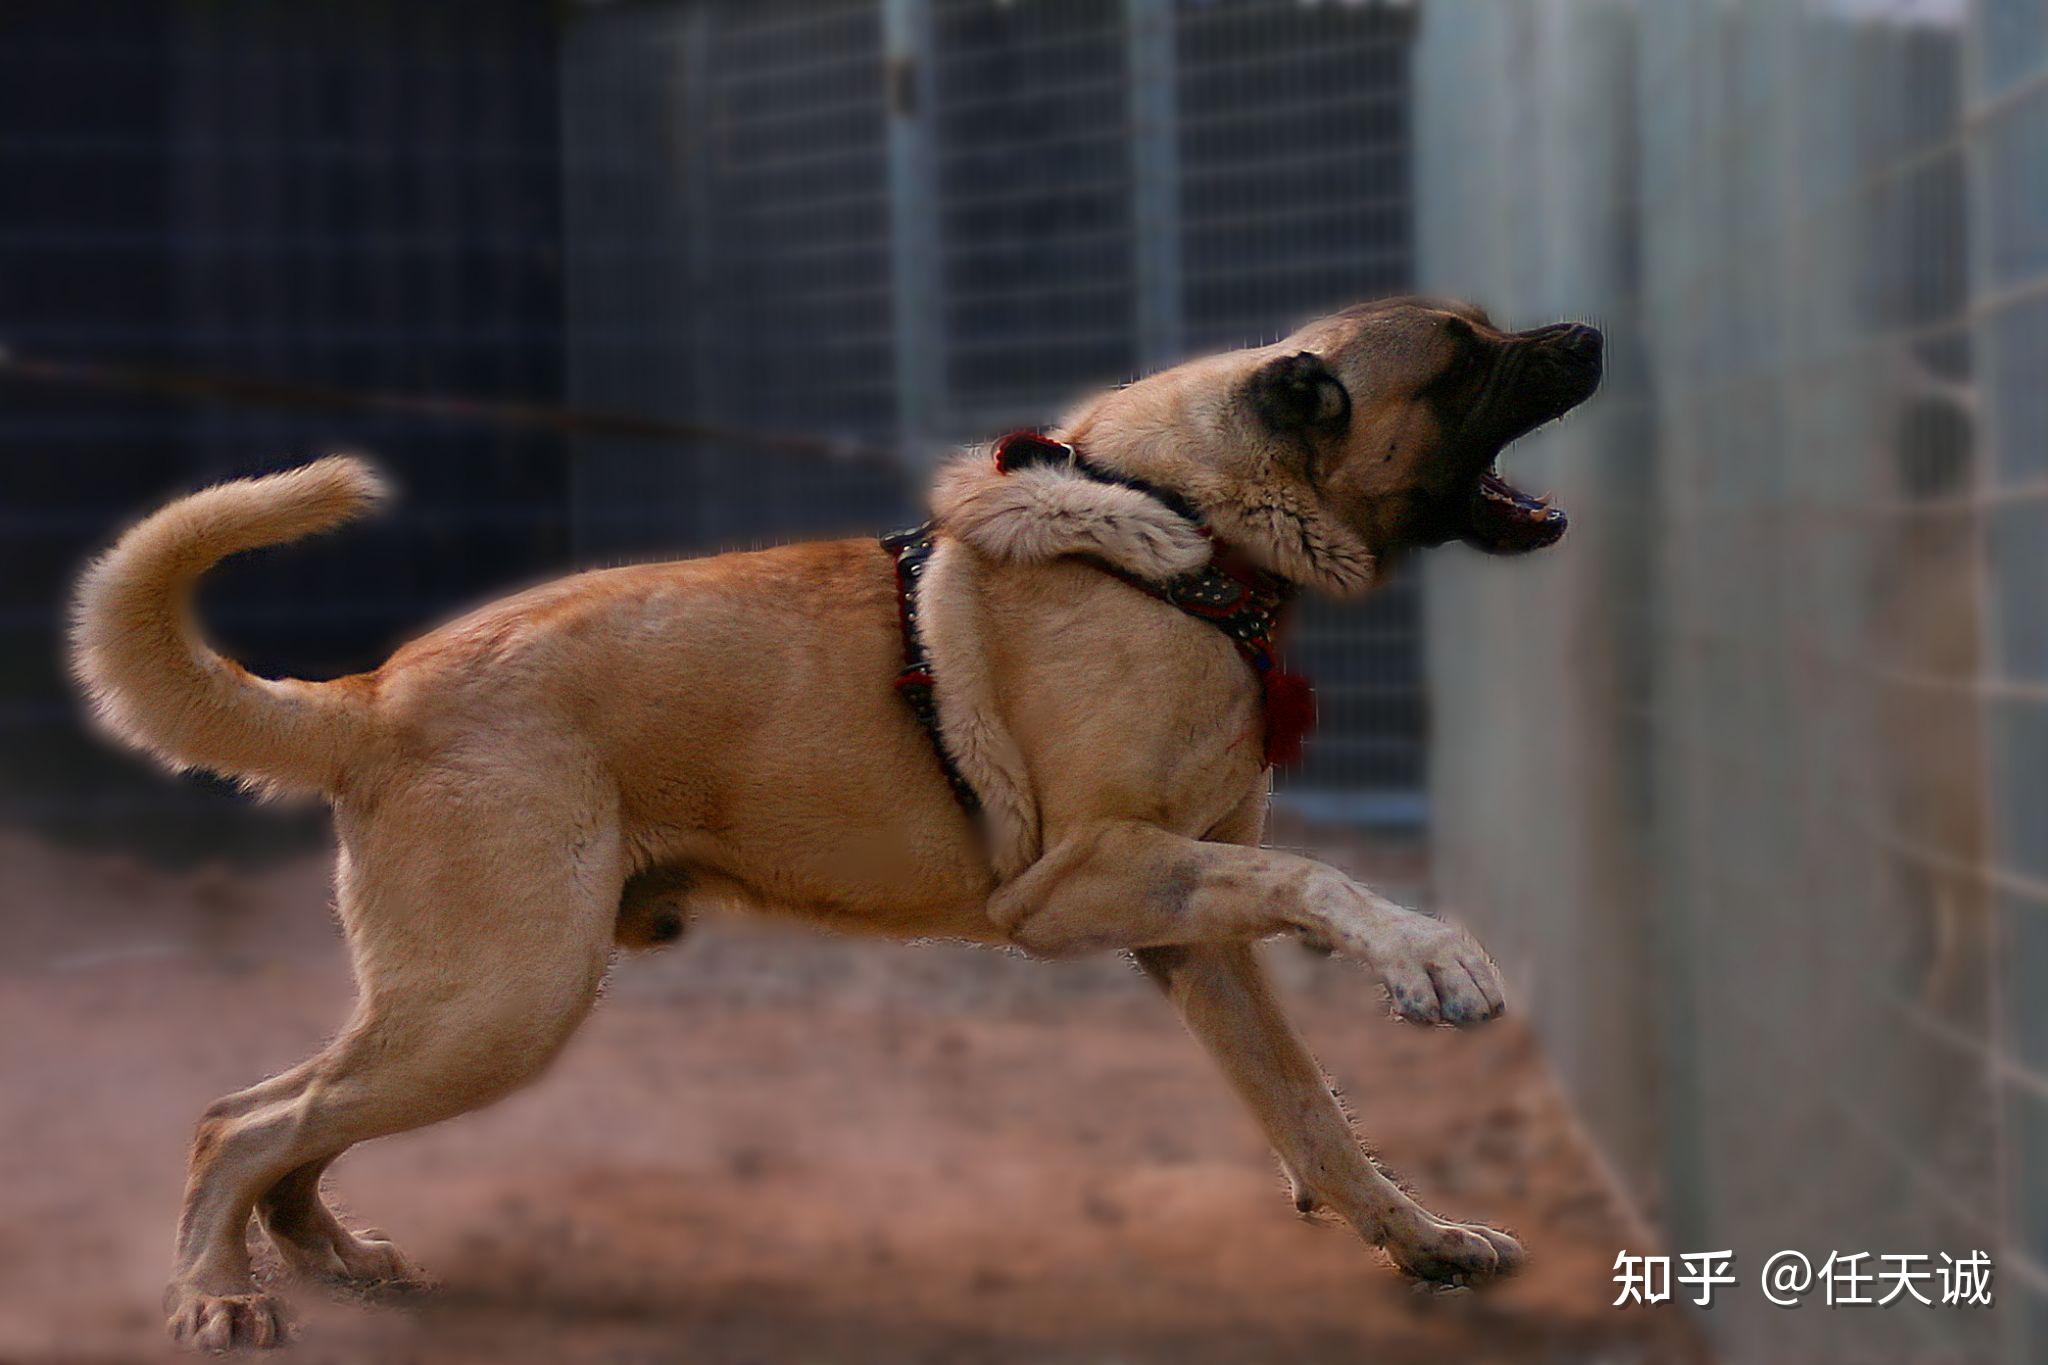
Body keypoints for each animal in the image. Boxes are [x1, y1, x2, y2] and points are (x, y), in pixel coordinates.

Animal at [75, 294, 1597, 1350]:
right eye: (1460, 354)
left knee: (290, 1124)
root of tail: (369, 696)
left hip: (468, 1003)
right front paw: (1428, 955)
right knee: (237, 1122)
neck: (1189, 534)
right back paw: (219, 1293)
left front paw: (1420, 1238)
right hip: (502, 1000)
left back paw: (325, 1254)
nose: (1589, 334)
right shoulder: (1076, 887)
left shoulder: (1192, 937)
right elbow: (1319, 877)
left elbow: (1314, 1116)